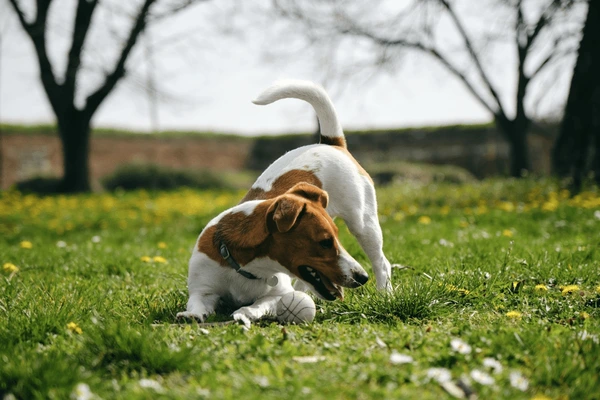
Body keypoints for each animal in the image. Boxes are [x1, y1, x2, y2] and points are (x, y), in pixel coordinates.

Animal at [177, 79, 394, 326]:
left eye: (334, 239)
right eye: (325, 242)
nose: (362, 277)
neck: (245, 265)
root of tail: (332, 144)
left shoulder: (278, 293)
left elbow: (259, 304)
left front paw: (245, 313)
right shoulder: (202, 289)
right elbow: (197, 302)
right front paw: (192, 314)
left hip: (363, 224)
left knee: (382, 263)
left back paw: (385, 295)